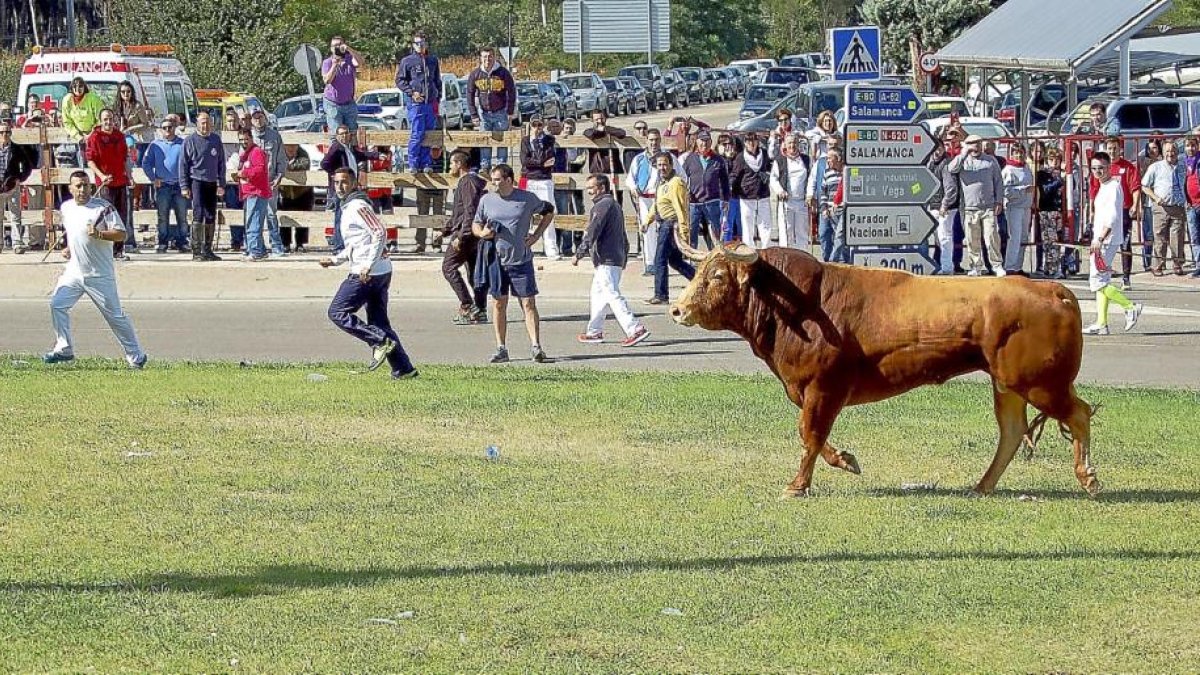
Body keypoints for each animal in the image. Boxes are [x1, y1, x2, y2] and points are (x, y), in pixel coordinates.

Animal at [667, 239, 1099, 497]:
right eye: (699, 271)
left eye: (717, 276)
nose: (677, 309)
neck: (797, 305)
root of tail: (1053, 290)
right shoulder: (811, 391)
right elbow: (815, 436)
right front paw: (845, 460)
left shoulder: (824, 387)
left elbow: (810, 434)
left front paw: (798, 485)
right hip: (1007, 384)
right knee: (1011, 431)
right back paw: (981, 486)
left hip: (1038, 382)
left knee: (1077, 414)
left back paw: (1088, 477)